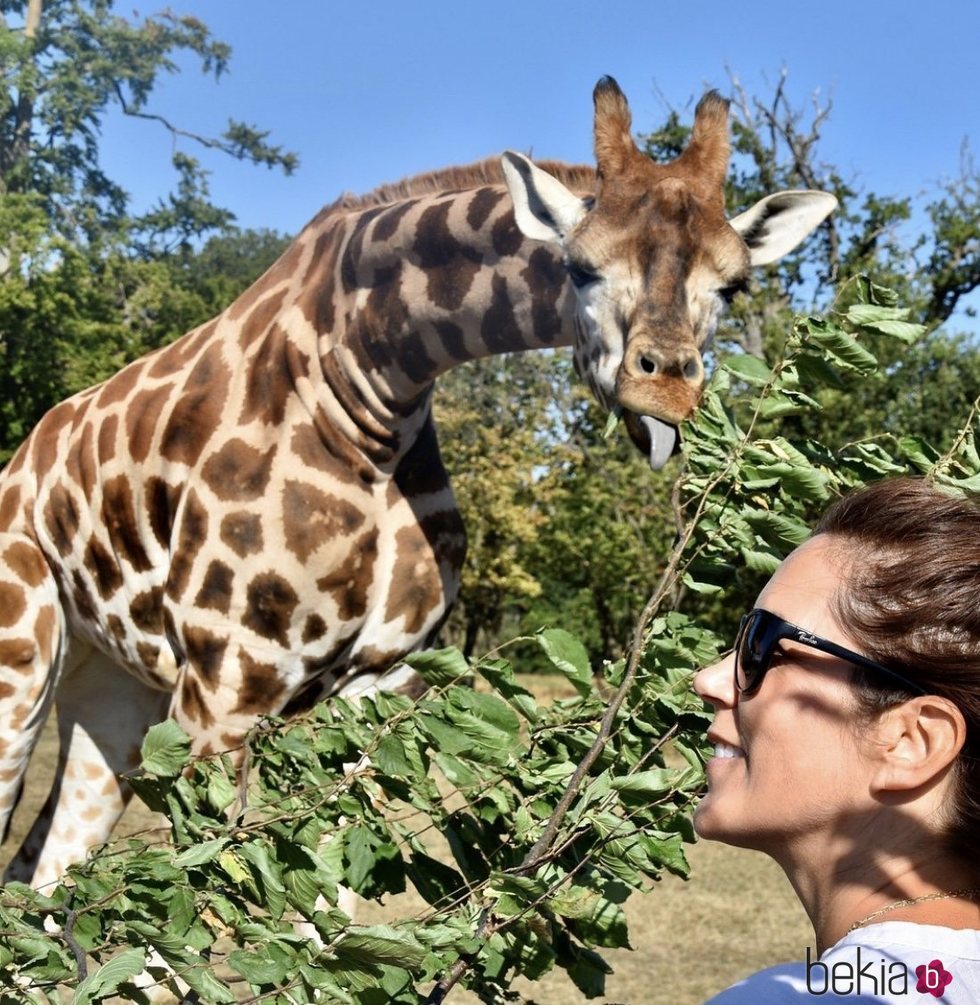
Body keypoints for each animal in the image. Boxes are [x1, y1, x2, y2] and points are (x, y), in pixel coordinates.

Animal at [0, 76, 836, 888]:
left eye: (732, 285)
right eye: (581, 265)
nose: (665, 388)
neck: (370, 388)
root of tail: (23, 460)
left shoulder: (381, 682)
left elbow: (323, 895)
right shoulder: (227, 681)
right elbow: (207, 908)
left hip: (115, 684)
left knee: (44, 876)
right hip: (26, 659)